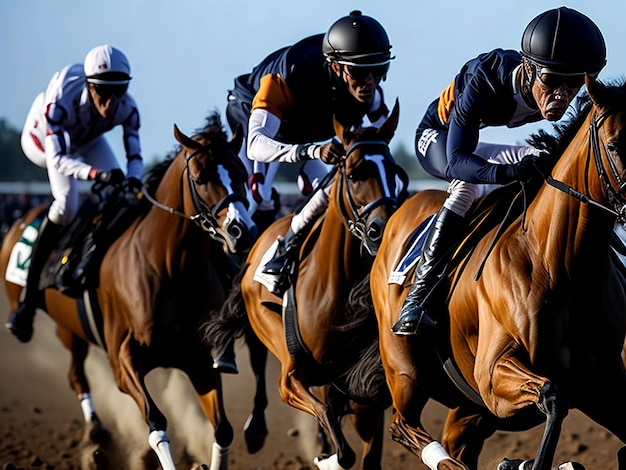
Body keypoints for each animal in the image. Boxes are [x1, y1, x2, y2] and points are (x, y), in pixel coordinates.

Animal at [0, 114, 264, 470]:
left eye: (240, 173)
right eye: (200, 177)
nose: (242, 231)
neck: (169, 269)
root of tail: (22, 219)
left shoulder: (198, 361)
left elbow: (223, 429)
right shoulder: (123, 359)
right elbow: (156, 422)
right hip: (66, 327)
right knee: (76, 376)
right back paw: (96, 434)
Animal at [205, 100, 408, 470]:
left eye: (397, 175)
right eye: (354, 173)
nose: (381, 230)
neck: (334, 291)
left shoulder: (363, 390)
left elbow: (364, 448)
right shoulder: (291, 380)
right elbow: (339, 444)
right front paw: (325, 457)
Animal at [368, 78, 624, 470]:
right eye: (613, 144)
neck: (561, 263)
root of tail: (400, 212)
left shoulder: (606, 384)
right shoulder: (492, 375)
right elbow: (553, 397)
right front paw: (525, 463)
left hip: (469, 409)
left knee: (453, 441)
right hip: (405, 369)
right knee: (403, 425)